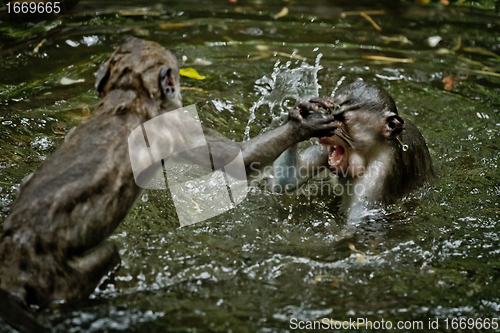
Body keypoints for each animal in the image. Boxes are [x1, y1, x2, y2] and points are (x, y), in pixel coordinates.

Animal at [0, 37, 336, 312]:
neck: (129, 94)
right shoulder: (174, 123)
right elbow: (240, 158)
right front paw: (304, 123)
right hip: (60, 277)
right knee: (107, 256)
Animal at [272, 80, 436, 220]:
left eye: (342, 119)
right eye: (329, 114)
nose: (324, 133)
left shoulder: (376, 176)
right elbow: (286, 179)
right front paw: (300, 114)